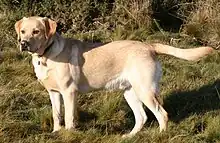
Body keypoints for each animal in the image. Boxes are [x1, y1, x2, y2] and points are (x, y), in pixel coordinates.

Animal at [14, 16, 213, 137]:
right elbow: (56, 115)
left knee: (161, 114)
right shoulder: (54, 93)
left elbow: (69, 117)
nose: (23, 43)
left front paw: (68, 134)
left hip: (145, 91)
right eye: (23, 31)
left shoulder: (69, 92)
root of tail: (148, 46)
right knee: (142, 117)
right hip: (130, 92)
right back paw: (130, 136)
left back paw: (160, 135)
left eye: (36, 31)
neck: (45, 56)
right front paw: (56, 132)